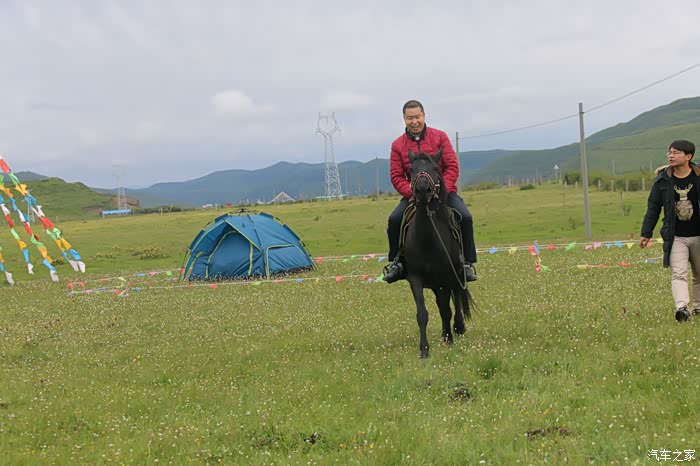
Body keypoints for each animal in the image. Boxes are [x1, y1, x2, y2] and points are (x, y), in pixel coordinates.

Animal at [403, 149, 472, 358]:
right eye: (411, 169)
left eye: (435, 168)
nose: (422, 190)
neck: (428, 239)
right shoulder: (415, 278)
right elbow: (422, 314)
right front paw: (424, 349)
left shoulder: (447, 277)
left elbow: (447, 309)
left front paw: (450, 338)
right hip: (434, 284)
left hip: (453, 277)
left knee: (455, 300)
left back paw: (457, 328)